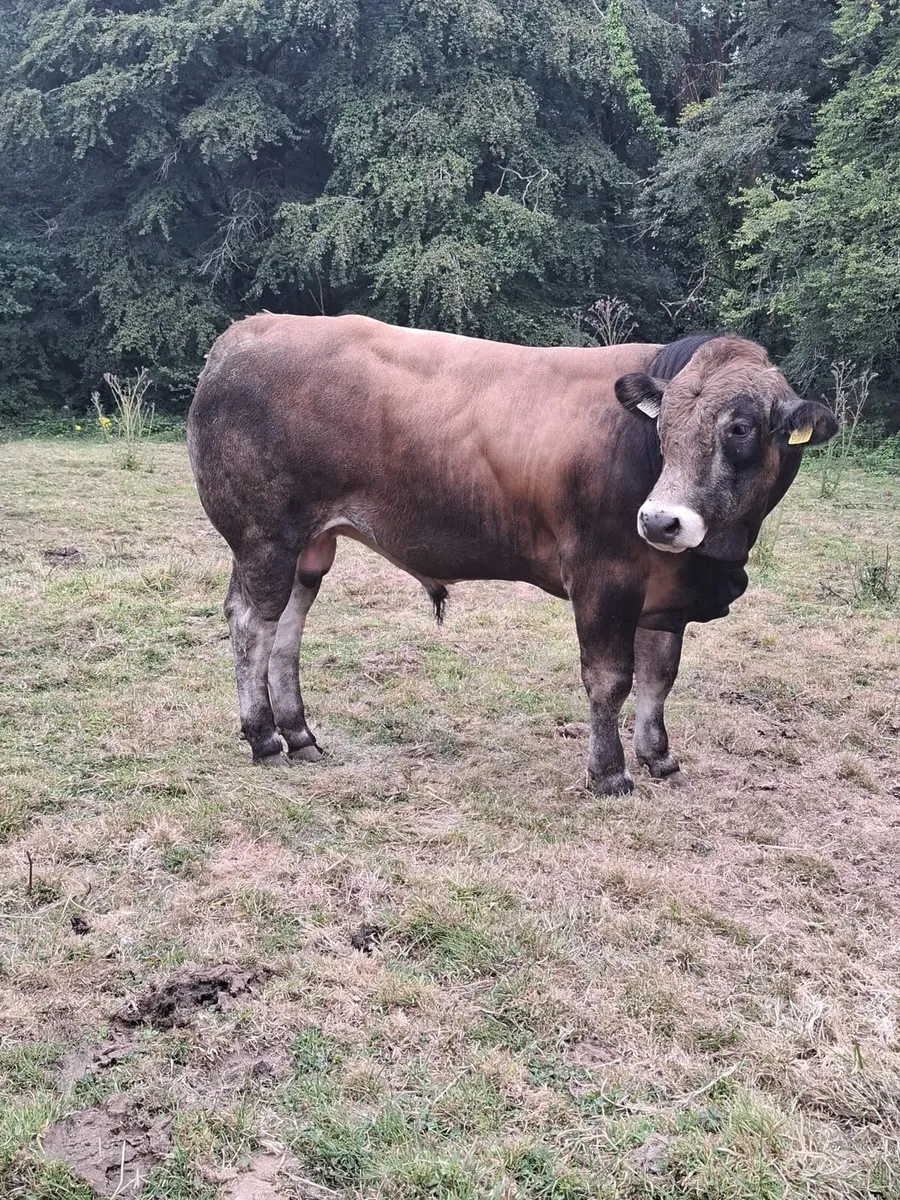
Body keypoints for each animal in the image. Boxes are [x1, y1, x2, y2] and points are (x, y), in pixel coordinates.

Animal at [187, 316, 837, 795]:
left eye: (741, 427)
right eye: (664, 425)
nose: (659, 520)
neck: (714, 558)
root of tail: (246, 331)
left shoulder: (665, 593)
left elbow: (659, 676)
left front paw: (660, 757)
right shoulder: (604, 577)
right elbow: (610, 679)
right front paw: (610, 773)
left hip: (307, 546)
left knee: (287, 630)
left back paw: (299, 734)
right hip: (264, 537)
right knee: (252, 624)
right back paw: (264, 739)